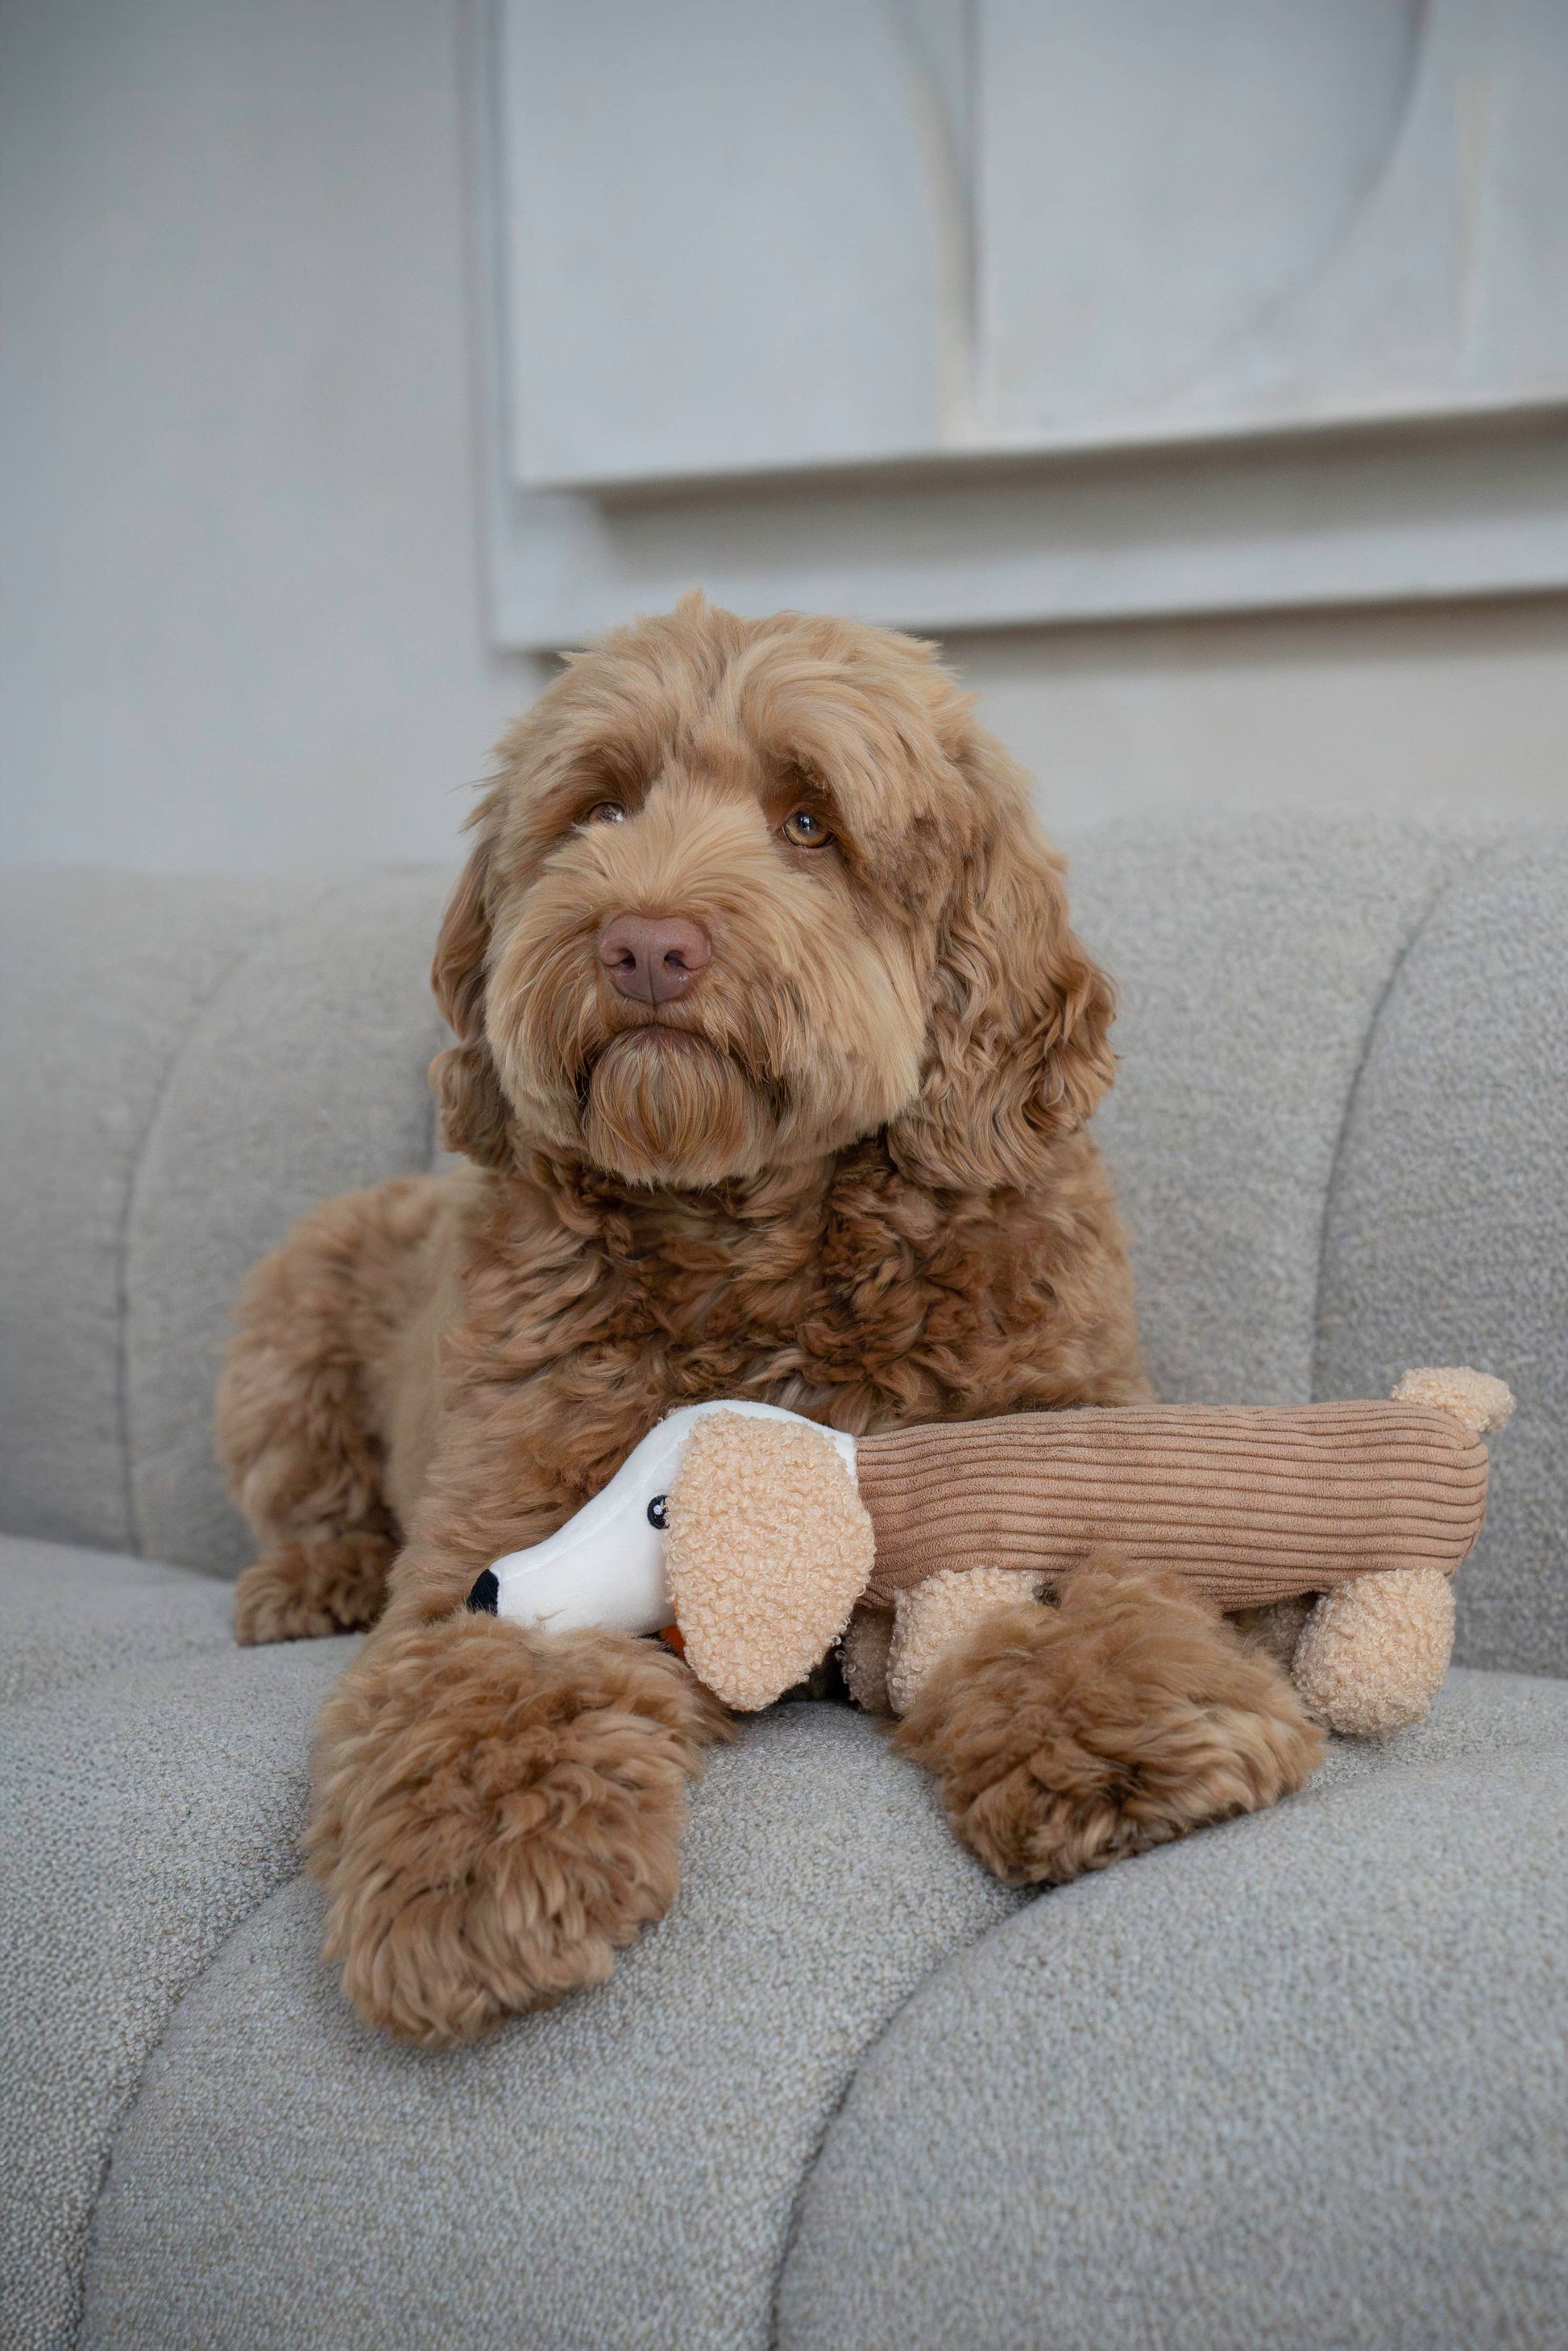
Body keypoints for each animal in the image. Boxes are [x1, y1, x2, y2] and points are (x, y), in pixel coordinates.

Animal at [218, 594, 1321, 2044]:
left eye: (810, 821)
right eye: (599, 808)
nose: (643, 944)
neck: (759, 1231)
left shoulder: (1041, 1441)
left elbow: (1072, 1580)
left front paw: (1116, 1723)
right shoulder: (500, 1534)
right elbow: (486, 1679)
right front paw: (476, 1875)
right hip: (291, 1296)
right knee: (311, 1495)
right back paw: (309, 1579)